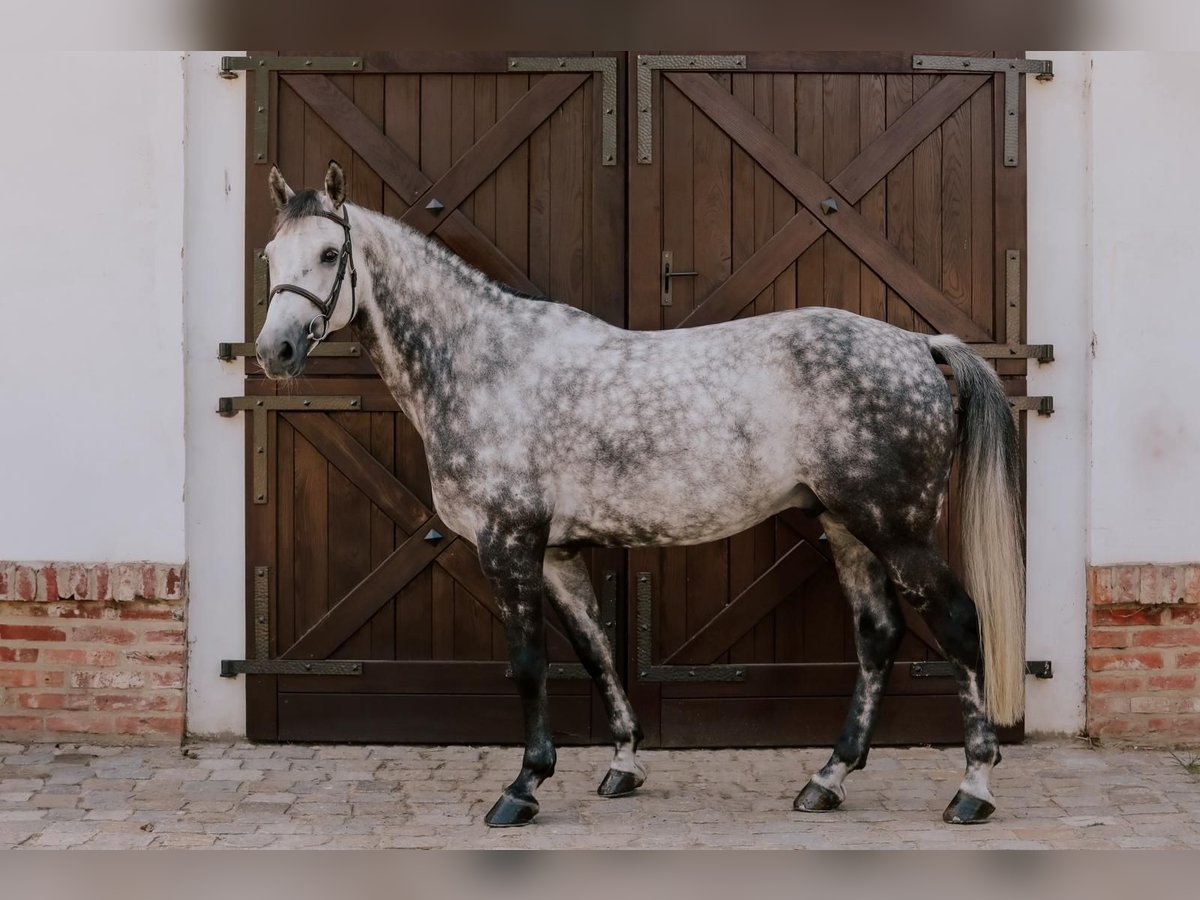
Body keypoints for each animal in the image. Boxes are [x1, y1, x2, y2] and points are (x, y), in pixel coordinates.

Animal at [253, 164, 1022, 830]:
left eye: (329, 252)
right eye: (267, 255)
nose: (274, 351)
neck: (487, 365)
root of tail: (919, 345)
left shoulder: (509, 543)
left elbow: (529, 664)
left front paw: (522, 788)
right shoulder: (557, 553)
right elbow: (595, 649)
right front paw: (624, 763)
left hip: (899, 531)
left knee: (961, 623)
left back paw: (973, 789)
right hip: (848, 527)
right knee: (878, 635)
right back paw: (826, 779)